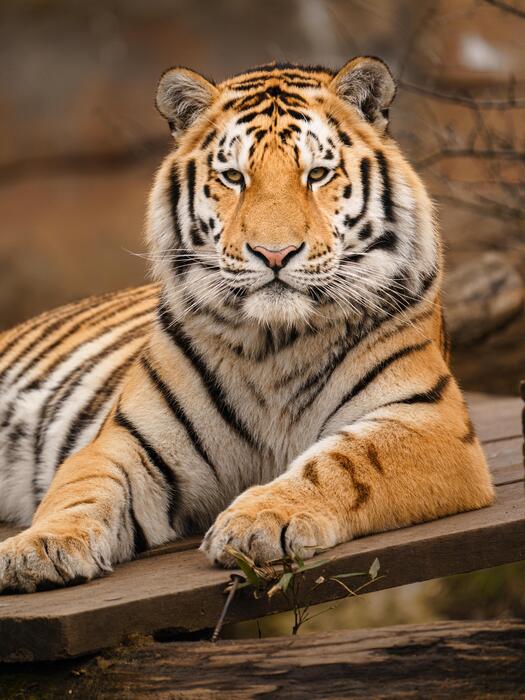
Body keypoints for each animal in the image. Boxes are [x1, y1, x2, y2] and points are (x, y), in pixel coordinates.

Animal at [0, 57, 494, 593]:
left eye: (317, 173)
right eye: (234, 177)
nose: (274, 254)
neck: (275, 342)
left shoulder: (428, 421)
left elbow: (343, 463)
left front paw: (261, 520)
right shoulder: (127, 442)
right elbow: (82, 489)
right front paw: (38, 548)